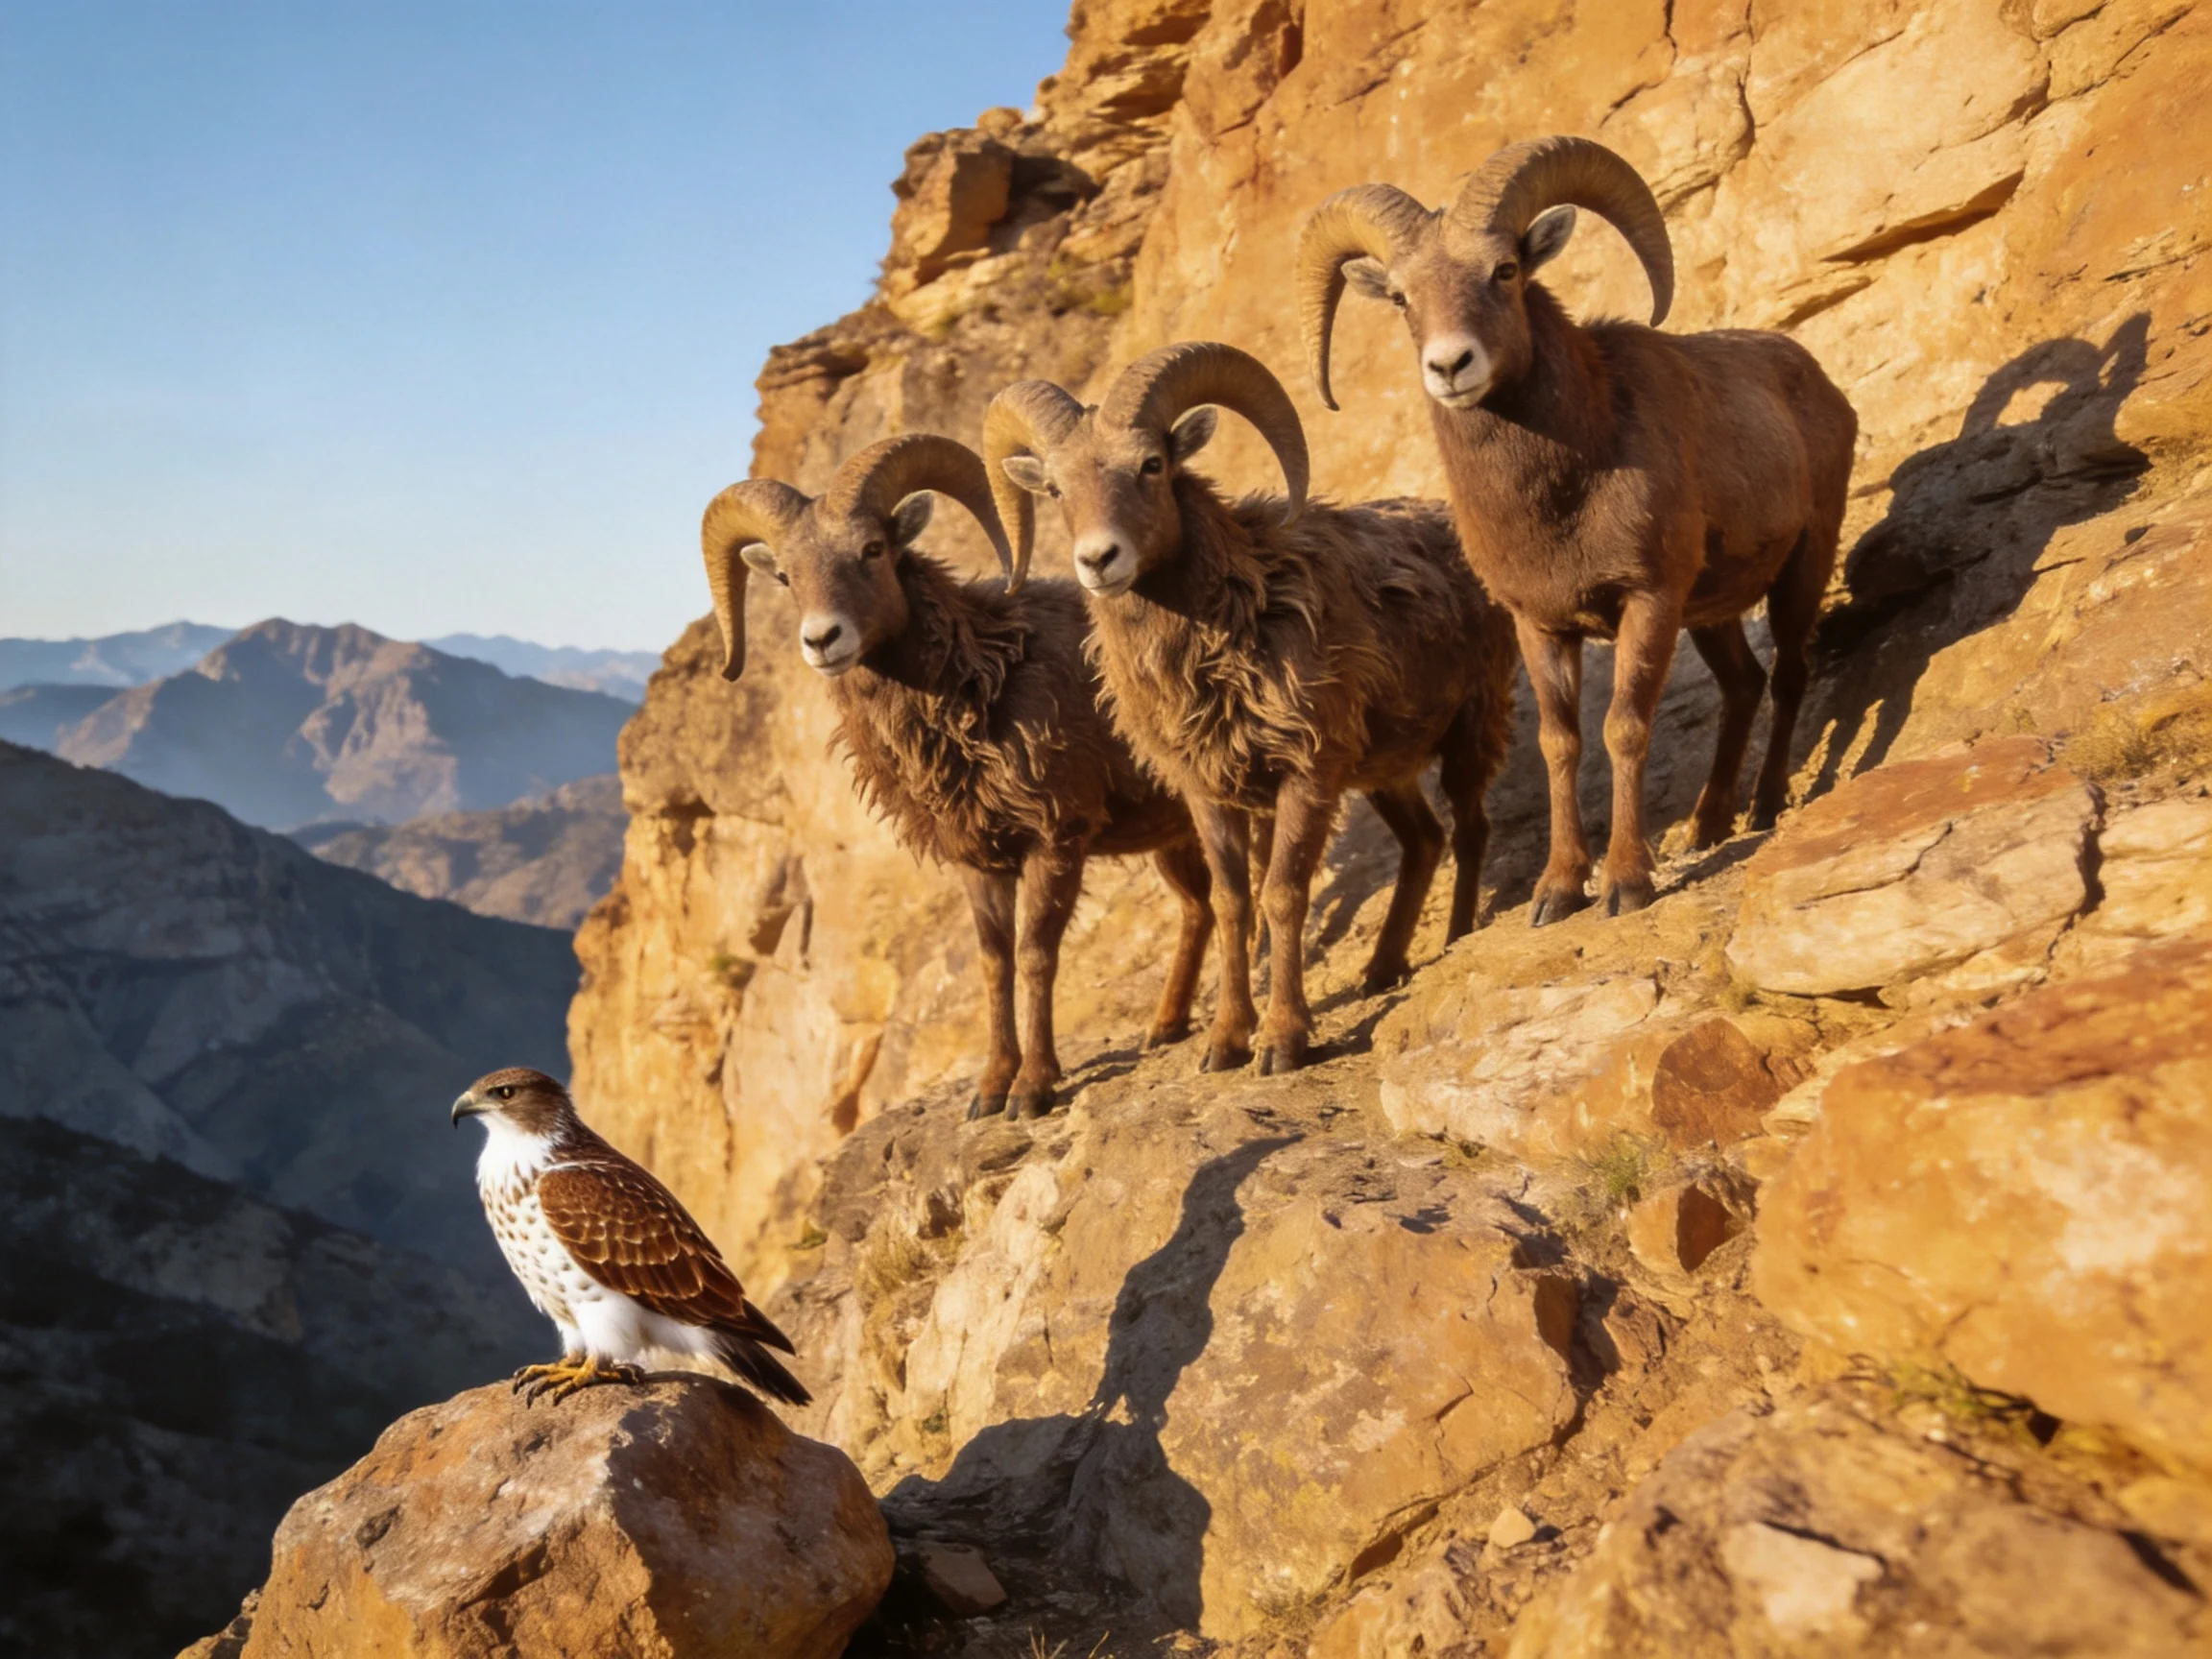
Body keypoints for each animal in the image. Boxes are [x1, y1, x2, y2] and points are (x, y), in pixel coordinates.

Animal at [699, 433, 1214, 1119]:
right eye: (785, 574)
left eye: (873, 549)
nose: (823, 640)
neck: (988, 681)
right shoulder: (981, 860)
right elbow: (994, 963)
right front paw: (991, 1089)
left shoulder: (1057, 841)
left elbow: (1035, 954)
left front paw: (1033, 1090)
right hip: (1174, 834)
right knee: (1200, 906)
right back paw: (1166, 1026)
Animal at [984, 342, 1516, 1076]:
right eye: (1056, 489)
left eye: (1151, 465)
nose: (1099, 560)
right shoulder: (1210, 792)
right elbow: (1235, 903)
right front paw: (1226, 1043)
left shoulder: (1307, 773)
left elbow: (1284, 893)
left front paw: (1283, 1043)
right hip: (1383, 771)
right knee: (1423, 840)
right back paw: (1381, 971)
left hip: (1471, 731)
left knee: (1469, 830)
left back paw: (1455, 940)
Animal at [1297, 134, 1858, 924]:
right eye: (1403, 297)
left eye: (1504, 271)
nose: (1450, 365)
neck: (1566, 492)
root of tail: (1815, 379)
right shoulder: (1542, 625)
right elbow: (1560, 743)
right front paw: (1559, 891)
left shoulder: (1646, 601)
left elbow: (1623, 726)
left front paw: (1626, 884)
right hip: (1710, 614)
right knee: (1744, 685)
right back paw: (1709, 824)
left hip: (1800, 570)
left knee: (1787, 675)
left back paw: (1767, 807)